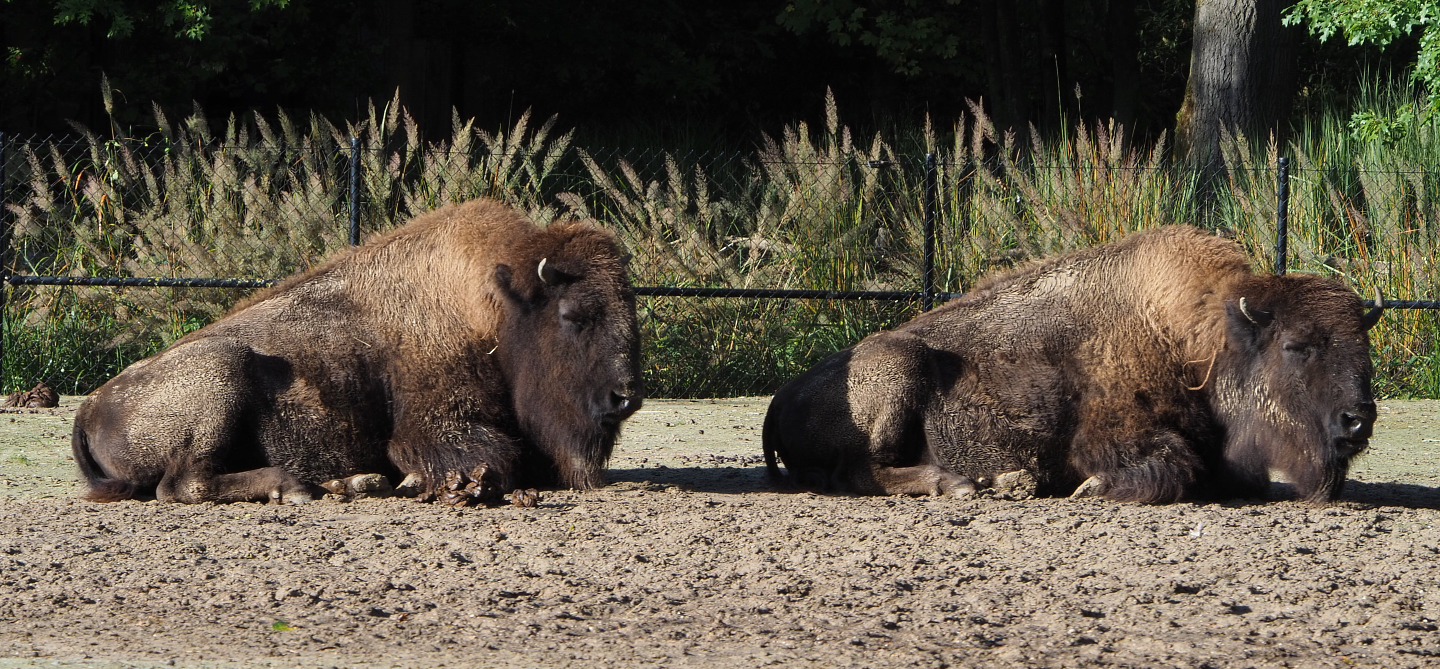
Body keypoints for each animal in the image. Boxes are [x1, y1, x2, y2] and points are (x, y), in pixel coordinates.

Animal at [72, 199, 642, 505]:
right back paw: (295, 486)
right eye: (572, 315)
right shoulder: (436, 427)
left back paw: (353, 482)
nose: (626, 397)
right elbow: (493, 457)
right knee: (183, 483)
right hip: (221, 374)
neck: (493, 306)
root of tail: (89, 406)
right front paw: (428, 482)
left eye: (630, 308)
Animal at [763, 225, 1383, 504]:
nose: (1358, 420)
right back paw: (962, 482)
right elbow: (1173, 466)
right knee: (862, 472)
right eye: (1296, 345)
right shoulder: (1110, 435)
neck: (1199, 341)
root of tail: (777, 403)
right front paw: (1092, 488)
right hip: (898, 369)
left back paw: (1003, 479)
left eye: (1364, 344)